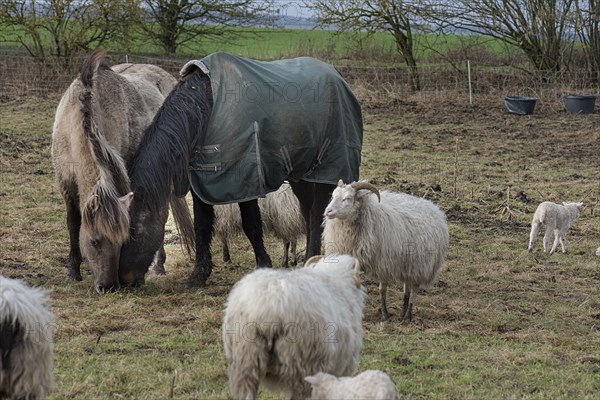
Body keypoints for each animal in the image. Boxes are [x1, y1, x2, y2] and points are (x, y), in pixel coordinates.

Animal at [51, 50, 193, 294]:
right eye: (95, 241)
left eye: (122, 243)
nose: (109, 287)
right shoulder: (66, 183)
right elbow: (73, 223)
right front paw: (72, 271)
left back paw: (159, 266)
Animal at [116, 52, 360, 288]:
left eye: (133, 230)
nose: (124, 280)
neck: (207, 108)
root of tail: (337, 75)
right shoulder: (203, 183)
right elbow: (202, 227)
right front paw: (199, 275)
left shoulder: (244, 183)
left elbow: (251, 224)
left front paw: (263, 264)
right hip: (301, 176)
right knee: (307, 212)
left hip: (327, 171)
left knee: (316, 213)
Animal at [322, 181, 448, 322]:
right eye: (333, 195)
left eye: (348, 198)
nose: (327, 211)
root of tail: (435, 210)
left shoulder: (383, 264)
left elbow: (382, 290)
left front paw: (384, 315)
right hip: (409, 263)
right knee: (406, 287)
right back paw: (403, 311)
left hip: (421, 264)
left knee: (414, 289)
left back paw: (408, 315)